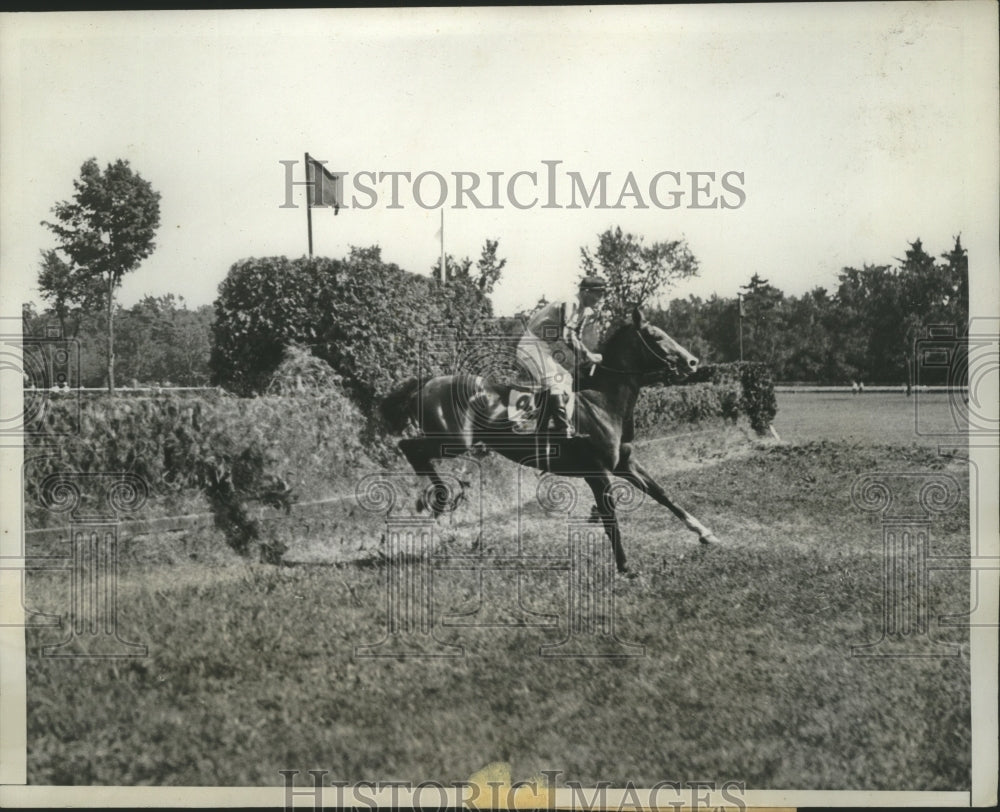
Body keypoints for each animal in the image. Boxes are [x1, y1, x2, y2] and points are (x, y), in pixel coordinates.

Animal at [380, 308, 720, 576]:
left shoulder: (624, 462)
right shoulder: (597, 472)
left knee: (414, 451)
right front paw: (625, 567)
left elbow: (663, 494)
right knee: (409, 448)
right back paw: (439, 496)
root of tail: (428, 382)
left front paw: (706, 533)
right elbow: (610, 518)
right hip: (451, 440)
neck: (603, 400)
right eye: (656, 336)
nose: (693, 362)